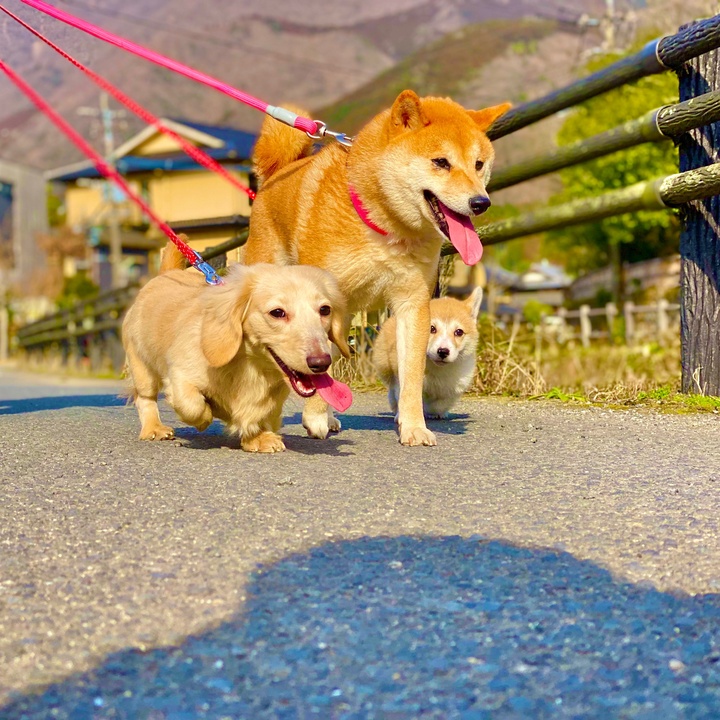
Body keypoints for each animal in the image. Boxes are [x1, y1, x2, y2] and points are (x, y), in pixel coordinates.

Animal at [121, 245, 352, 452]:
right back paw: (154, 428)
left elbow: (261, 413)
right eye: (277, 312)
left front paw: (257, 438)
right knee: (145, 399)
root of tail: (166, 274)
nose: (321, 363)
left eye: (325, 310)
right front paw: (206, 417)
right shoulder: (180, 377)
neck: (250, 366)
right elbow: (193, 405)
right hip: (143, 370)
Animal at [372, 286, 484, 420]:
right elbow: (406, 396)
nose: (443, 351)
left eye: (459, 332)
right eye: (431, 328)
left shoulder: (455, 386)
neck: (438, 369)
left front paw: (435, 412)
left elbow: (440, 403)